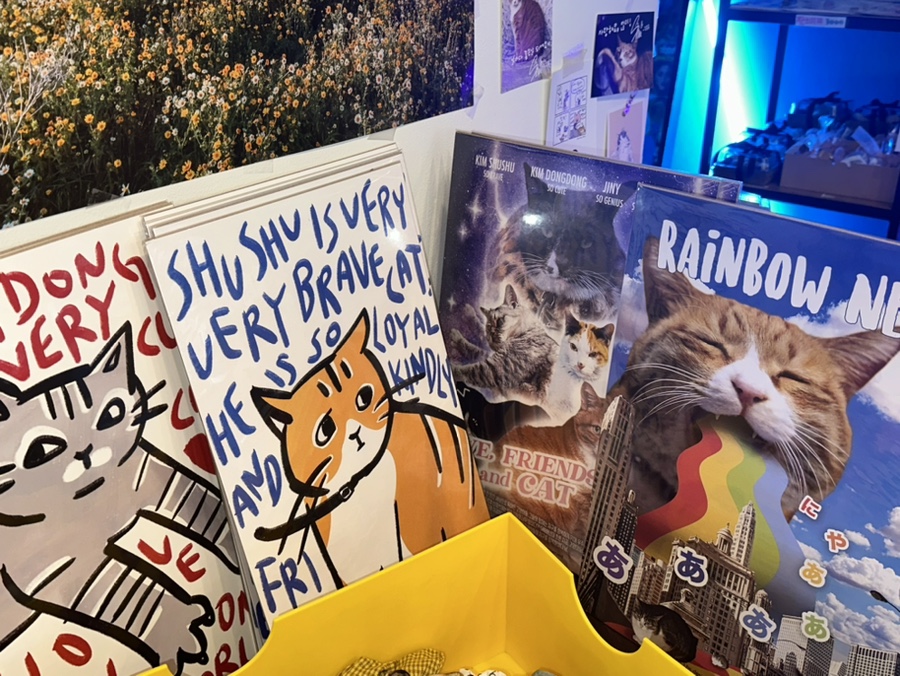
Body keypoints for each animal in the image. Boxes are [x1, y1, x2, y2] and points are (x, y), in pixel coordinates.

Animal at [0, 323, 230, 674]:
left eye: (112, 413)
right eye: (42, 450)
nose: (86, 451)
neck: (96, 499)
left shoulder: (151, 475)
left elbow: (204, 503)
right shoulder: (58, 571)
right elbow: (130, 589)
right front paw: (179, 622)